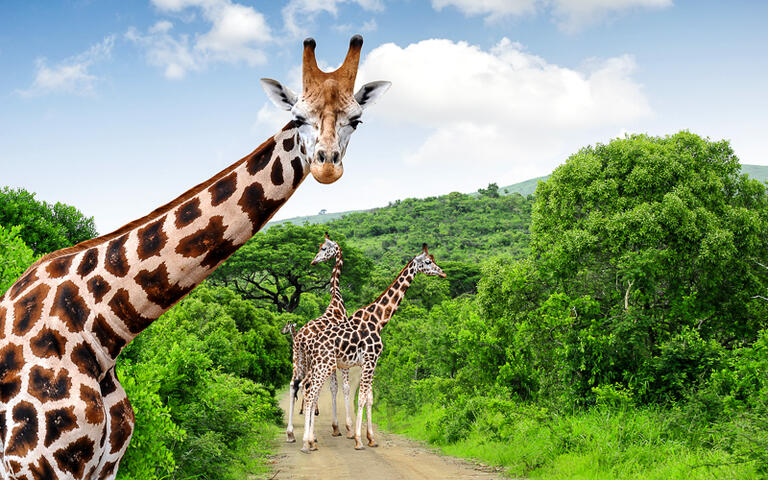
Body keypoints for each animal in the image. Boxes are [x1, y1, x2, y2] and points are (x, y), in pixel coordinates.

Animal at [284, 232, 352, 442]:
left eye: (323, 248)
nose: (314, 261)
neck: (337, 303)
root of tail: (299, 339)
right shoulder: (342, 360)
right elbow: (342, 387)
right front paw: (345, 428)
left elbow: (333, 387)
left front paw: (336, 427)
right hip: (311, 362)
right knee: (307, 386)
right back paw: (310, 435)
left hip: (297, 359)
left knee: (294, 384)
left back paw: (291, 433)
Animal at [298, 246, 444, 452]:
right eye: (428, 262)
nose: (443, 272)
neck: (378, 320)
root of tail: (308, 343)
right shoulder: (369, 360)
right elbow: (360, 397)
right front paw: (358, 440)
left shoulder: (371, 362)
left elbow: (369, 398)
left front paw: (371, 438)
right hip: (323, 366)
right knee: (311, 393)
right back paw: (307, 442)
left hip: (317, 366)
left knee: (306, 388)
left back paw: (309, 440)